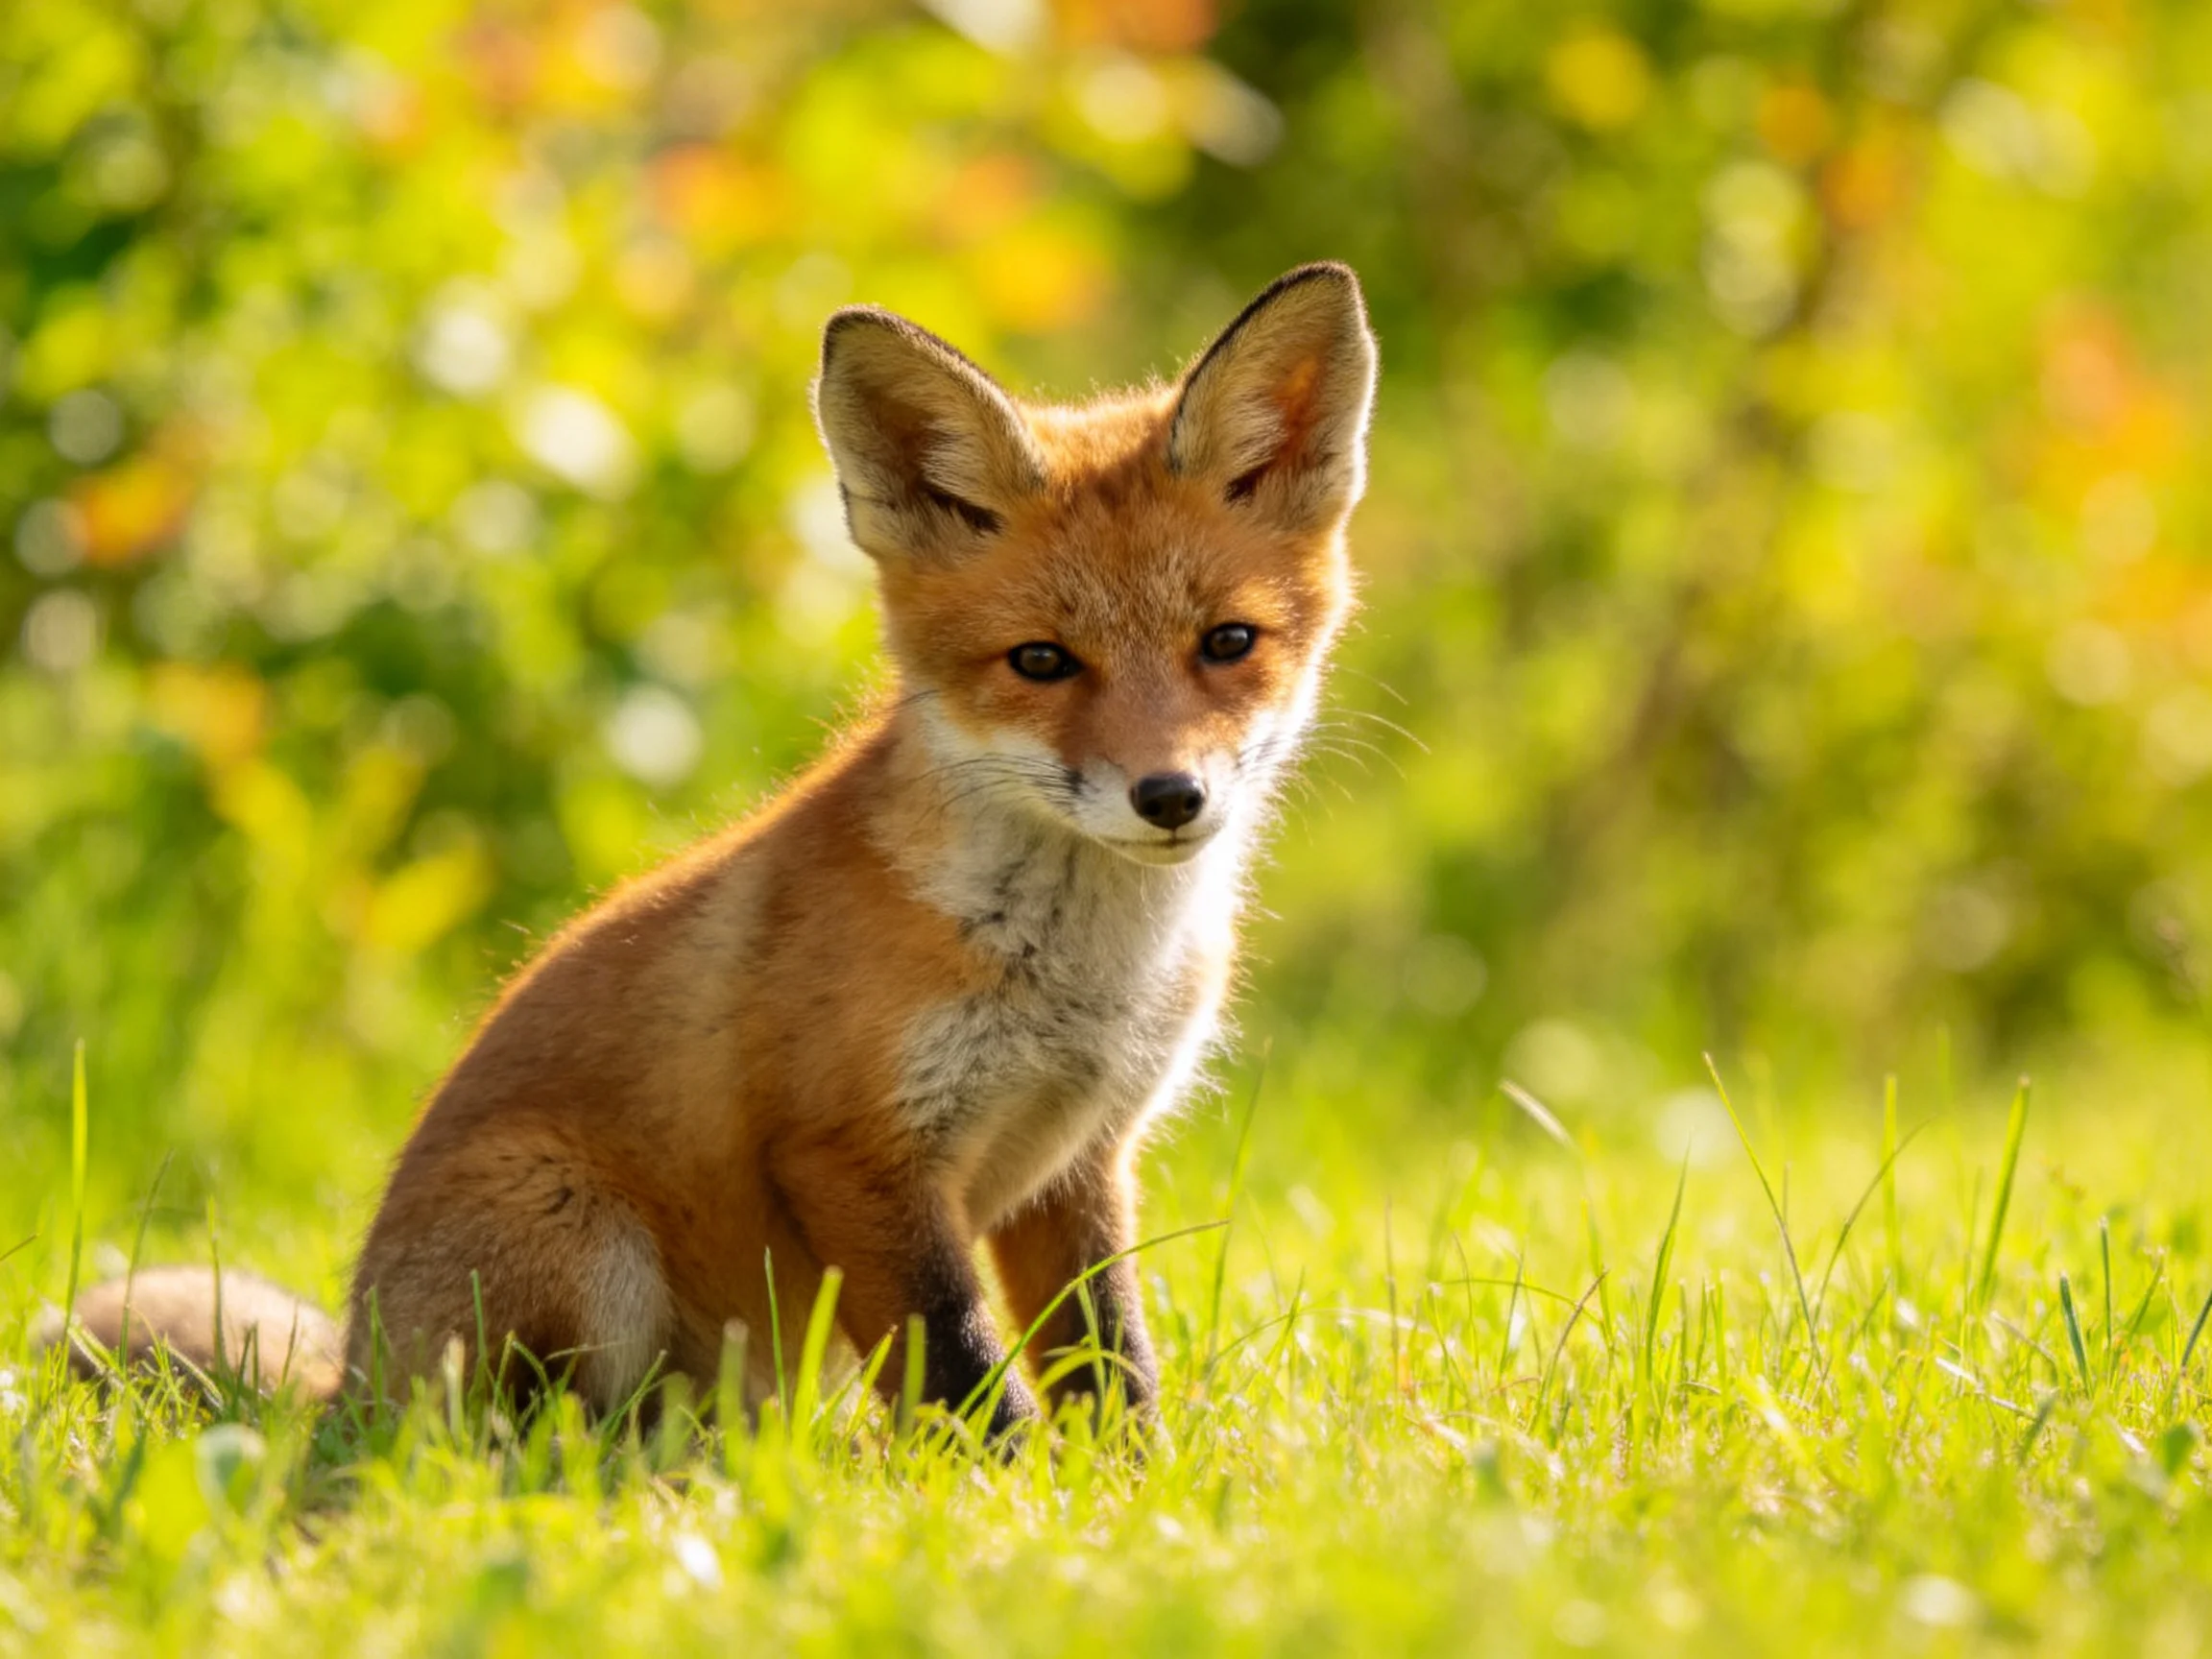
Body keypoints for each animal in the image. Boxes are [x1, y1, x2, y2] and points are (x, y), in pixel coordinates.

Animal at [50, 262, 1378, 1438]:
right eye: (1042, 662)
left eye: (1228, 642)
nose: (1171, 796)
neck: (1082, 975)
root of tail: (348, 1381)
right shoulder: (851, 1153)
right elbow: (961, 1373)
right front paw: (1010, 1502)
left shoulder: (1076, 1163)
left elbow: (1111, 1366)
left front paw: (1129, 1492)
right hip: (570, 1230)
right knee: (520, 1437)